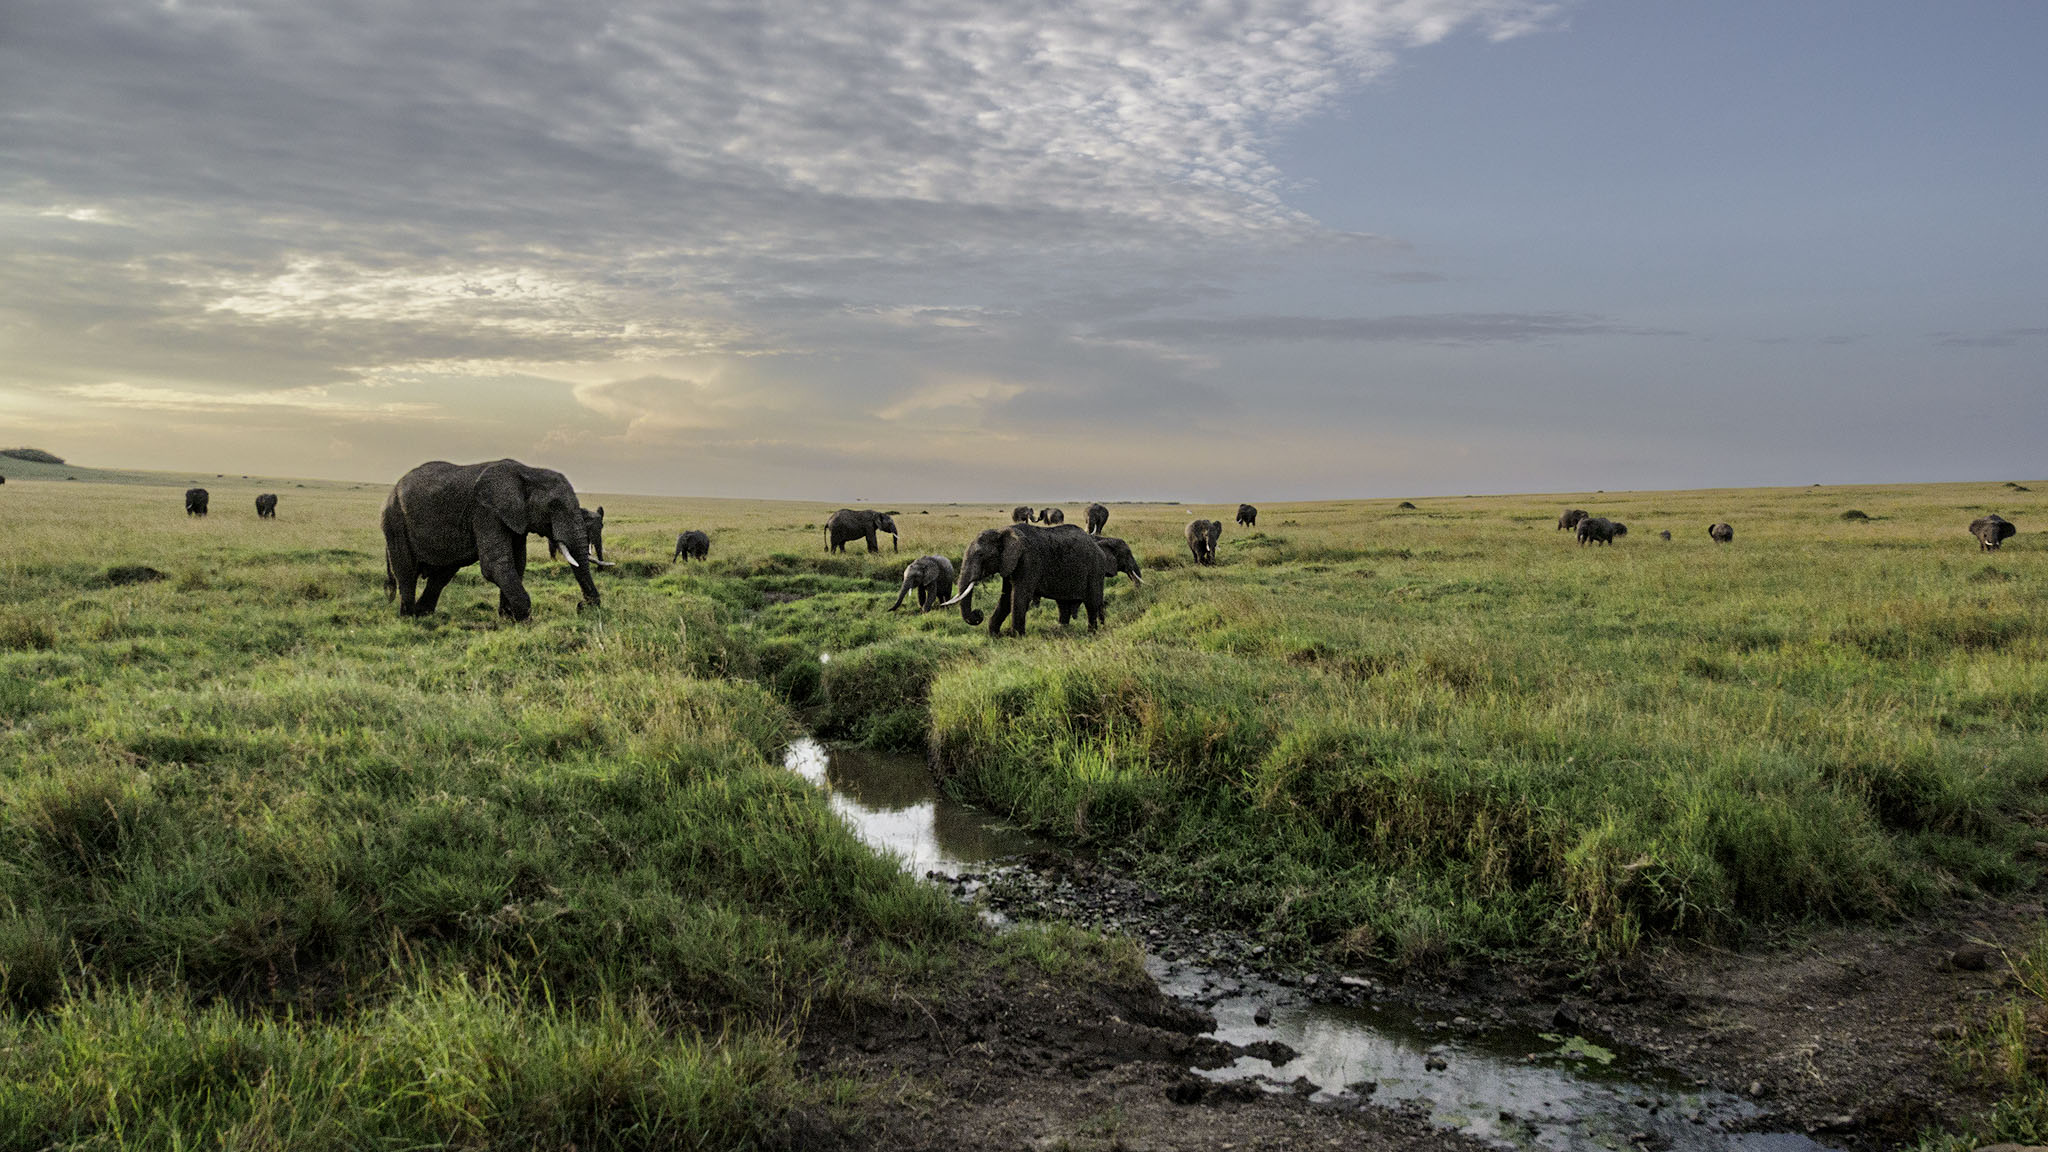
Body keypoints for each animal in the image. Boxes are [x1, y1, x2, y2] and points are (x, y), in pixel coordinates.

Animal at [382, 458, 608, 621]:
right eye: (553, 506)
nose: (582, 606)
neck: (529, 472)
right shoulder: (486, 512)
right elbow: (495, 565)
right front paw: (524, 620)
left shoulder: (515, 519)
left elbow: (517, 563)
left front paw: (508, 618)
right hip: (395, 522)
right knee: (407, 572)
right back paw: (409, 618)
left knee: (442, 574)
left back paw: (423, 614)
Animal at [941, 522, 1106, 636]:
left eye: (981, 555)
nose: (978, 613)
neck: (1003, 531)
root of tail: (1097, 547)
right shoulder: (1008, 564)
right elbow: (1006, 598)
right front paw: (995, 635)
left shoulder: (1029, 560)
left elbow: (1019, 596)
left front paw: (1016, 636)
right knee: (1063, 604)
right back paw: (1061, 631)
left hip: (1096, 570)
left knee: (1092, 603)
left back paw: (1091, 633)